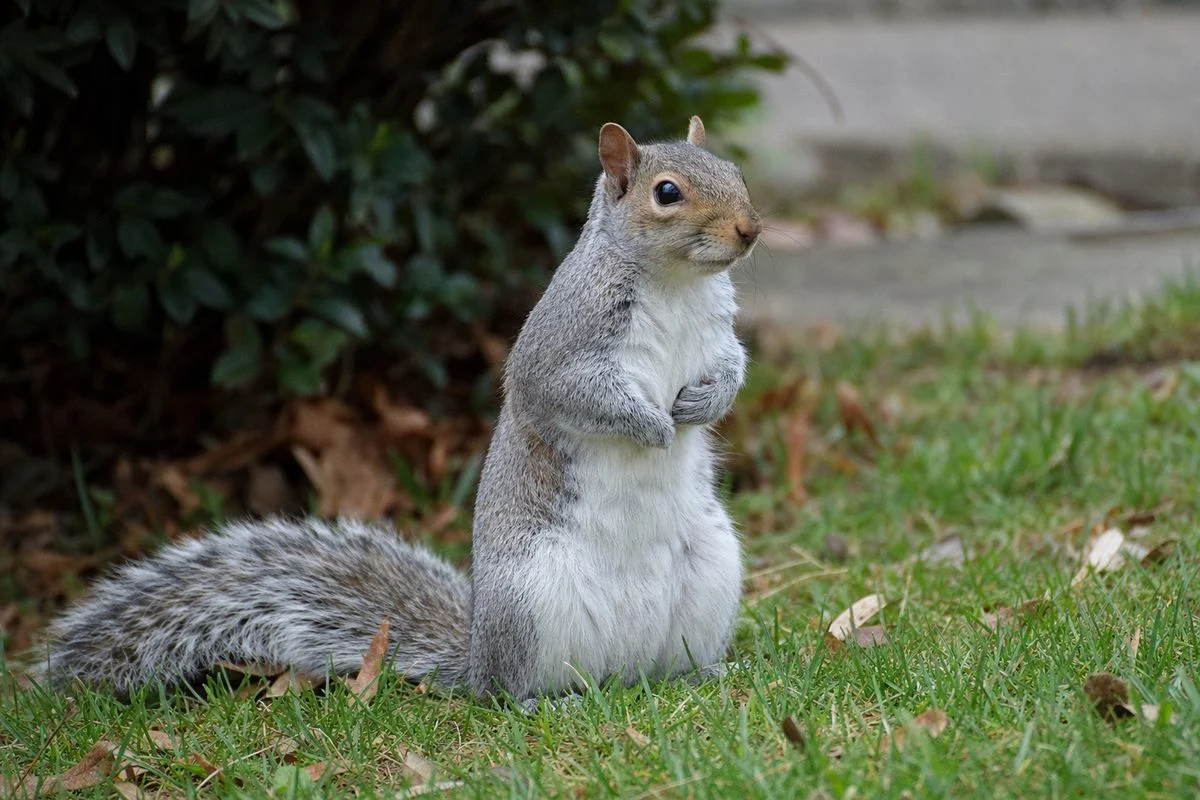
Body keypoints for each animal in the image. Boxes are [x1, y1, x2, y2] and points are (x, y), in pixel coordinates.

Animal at [29, 116, 762, 704]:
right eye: (666, 193)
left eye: (734, 171)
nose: (751, 230)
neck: (675, 284)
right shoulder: (560, 348)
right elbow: (578, 393)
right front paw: (653, 425)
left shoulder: (718, 336)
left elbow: (733, 368)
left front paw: (701, 404)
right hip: (531, 605)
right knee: (509, 692)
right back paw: (539, 702)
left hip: (713, 574)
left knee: (663, 665)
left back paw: (707, 674)